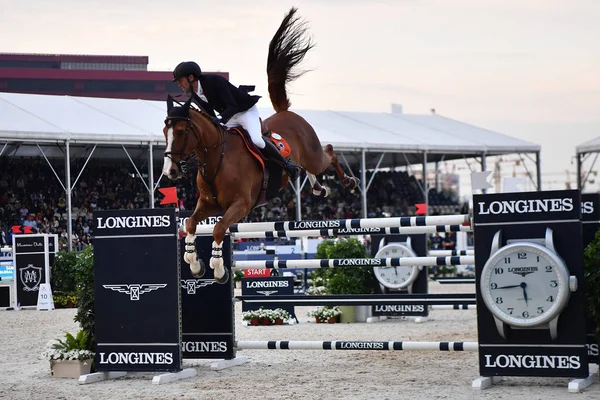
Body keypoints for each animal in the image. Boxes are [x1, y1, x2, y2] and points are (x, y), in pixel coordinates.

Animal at [159, 5, 358, 282]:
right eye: (164, 131)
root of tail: (286, 112)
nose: (170, 171)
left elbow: (219, 229)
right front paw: (195, 263)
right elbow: (189, 224)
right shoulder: (208, 204)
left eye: (179, 131)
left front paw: (218, 268)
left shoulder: (241, 205)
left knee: (328, 154)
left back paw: (348, 182)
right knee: (313, 169)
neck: (217, 159)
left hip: (313, 154)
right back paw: (318, 187)